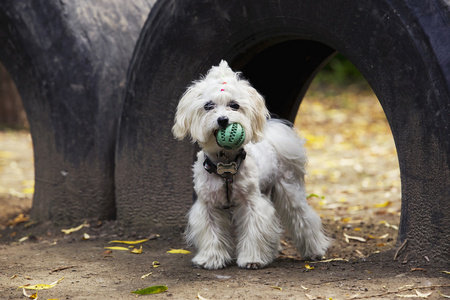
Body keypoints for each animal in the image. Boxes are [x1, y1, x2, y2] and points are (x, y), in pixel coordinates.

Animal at [172, 59, 330, 268]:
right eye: (208, 106)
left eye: (234, 105)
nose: (223, 120)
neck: (225, 164)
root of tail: (271, 140)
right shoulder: (207, 206)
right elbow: (211, 233)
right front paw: (211, 258)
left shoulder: (252, 204)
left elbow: (253, 231)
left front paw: (252, 259)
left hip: (289, 190)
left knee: (303, 218)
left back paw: (315, 250)